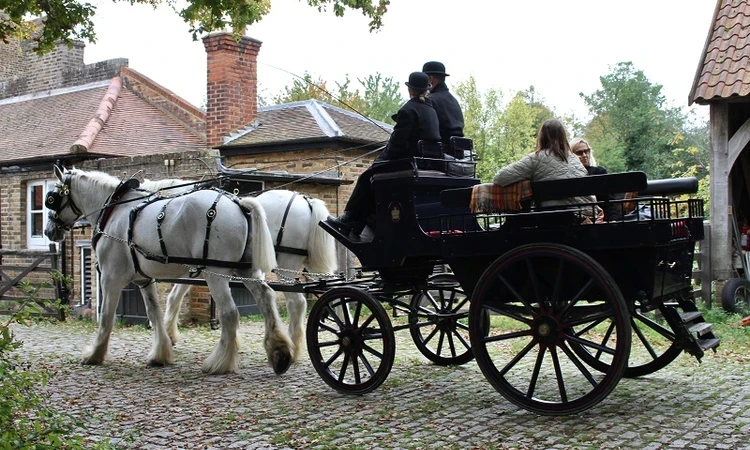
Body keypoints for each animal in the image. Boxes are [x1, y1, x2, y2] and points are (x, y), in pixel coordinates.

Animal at [44, 167, 294, 375]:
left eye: (52, 198)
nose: (48, 231)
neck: (114, 210)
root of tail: (239, 204)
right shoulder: (144, 280)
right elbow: (154, 312)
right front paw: (161, 354)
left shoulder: (110, 277)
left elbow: (106, 316)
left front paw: (95, 354)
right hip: (247, 270)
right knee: (266, 299)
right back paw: (280, 353)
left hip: (215, 272)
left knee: (230, 313)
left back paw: (219, 362)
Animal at [141, 179, 338, 358]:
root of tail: (305, 200)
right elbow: (176, 295)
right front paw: (170, 333)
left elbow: (175, 295)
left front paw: (168, 333)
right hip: (312, 267)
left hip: (286, 266)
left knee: (297, 303)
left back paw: (293, 347)